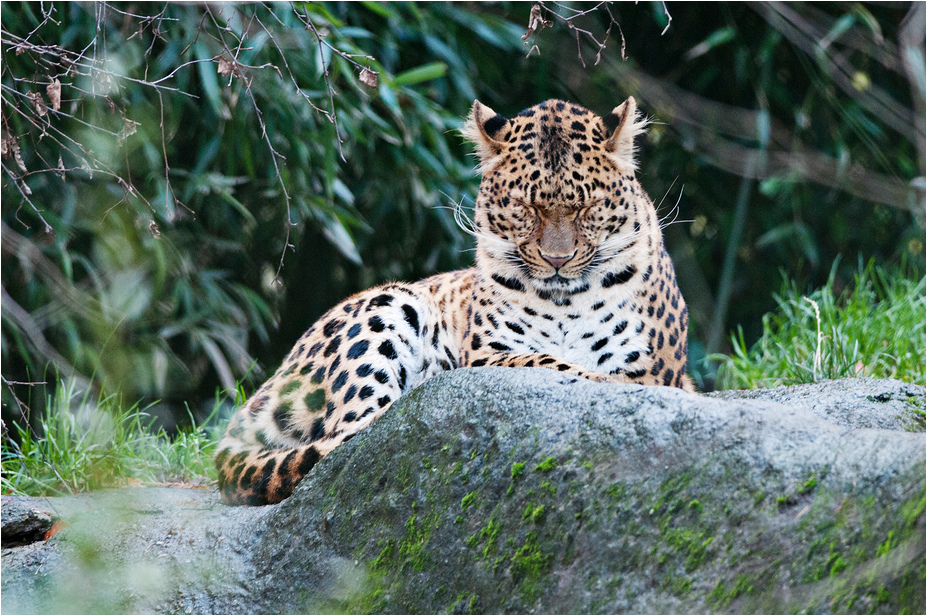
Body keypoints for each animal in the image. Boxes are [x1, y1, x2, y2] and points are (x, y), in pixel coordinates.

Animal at [215, 97, 694, 506]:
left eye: (587, 207)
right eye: (525, 207)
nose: (557, 260)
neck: (563, 301)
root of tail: (264, 391)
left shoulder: (647, 365)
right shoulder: (490, 355)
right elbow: (549, 363)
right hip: (387, 305)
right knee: (349, 438)